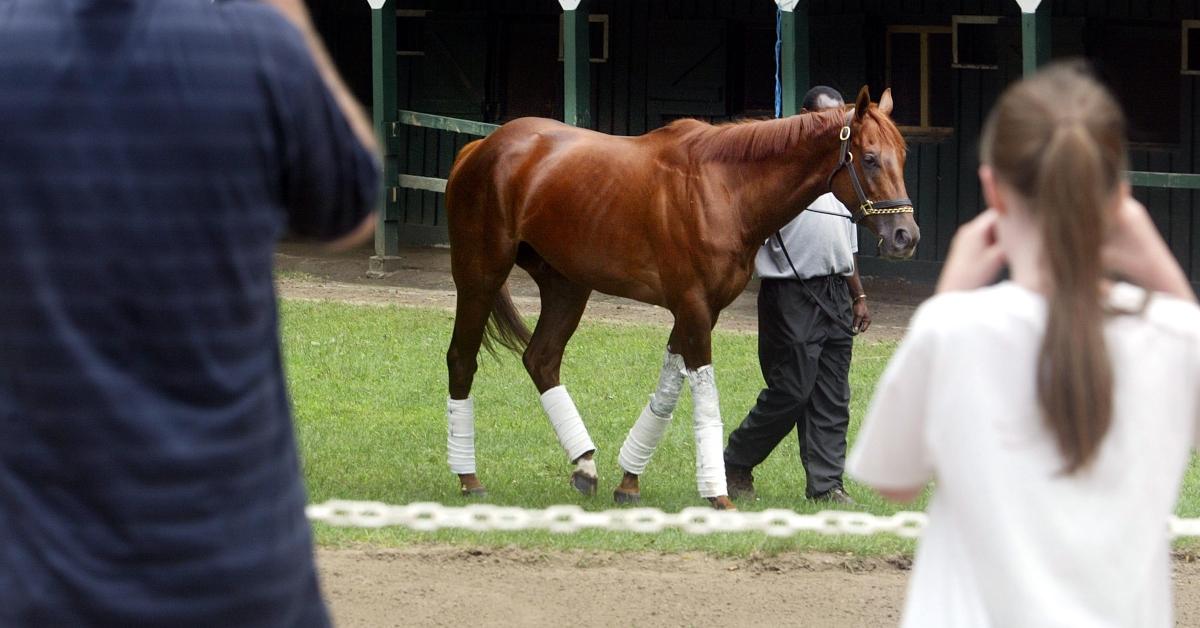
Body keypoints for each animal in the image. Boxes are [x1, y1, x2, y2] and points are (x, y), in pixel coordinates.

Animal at [441, 87, 916, 511]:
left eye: (903, 157)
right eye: (869, 158)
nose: (905, 236)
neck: (724, 188)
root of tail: (481, 147)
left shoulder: (700, 310)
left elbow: (668, 390)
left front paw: (629, 482)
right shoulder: (693, 306)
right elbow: (704, 393)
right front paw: (718, 493)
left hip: (567, 285)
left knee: (541, 359)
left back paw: (585, 465)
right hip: (481, 275)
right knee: (462, 359)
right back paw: (468, 478)